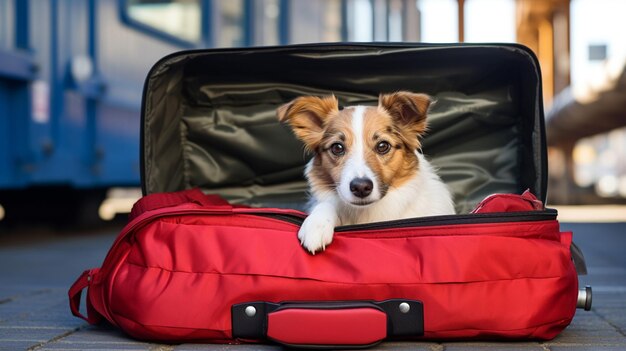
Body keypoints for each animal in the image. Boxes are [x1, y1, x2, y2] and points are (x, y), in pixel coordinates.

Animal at [278, 92, 454, 254]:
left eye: (383, 146)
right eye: (337, 147)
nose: (361, 188)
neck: (367, 213)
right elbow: (327, 204)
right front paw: (316, 225)